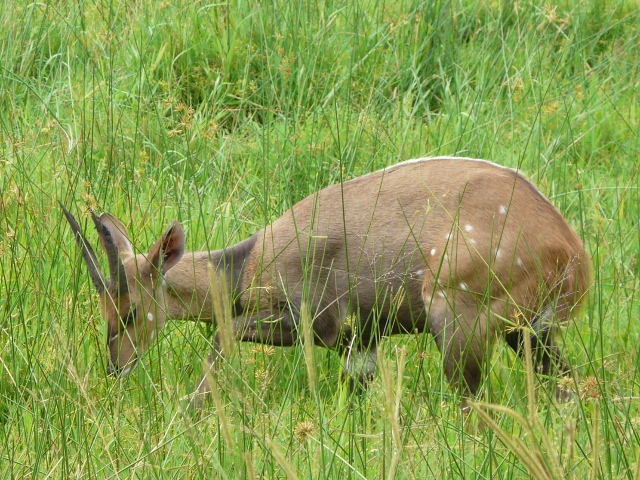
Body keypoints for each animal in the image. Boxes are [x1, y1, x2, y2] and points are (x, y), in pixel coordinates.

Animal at [60, 157, 592, 402]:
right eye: (103, 310)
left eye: (129, 310)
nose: (116, 367)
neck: (247, 264)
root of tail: (572, 256)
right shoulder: (363, 339)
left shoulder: (315, 323)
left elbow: (221, 338)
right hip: (531, 332)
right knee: (568, 388)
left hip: (459, 316)